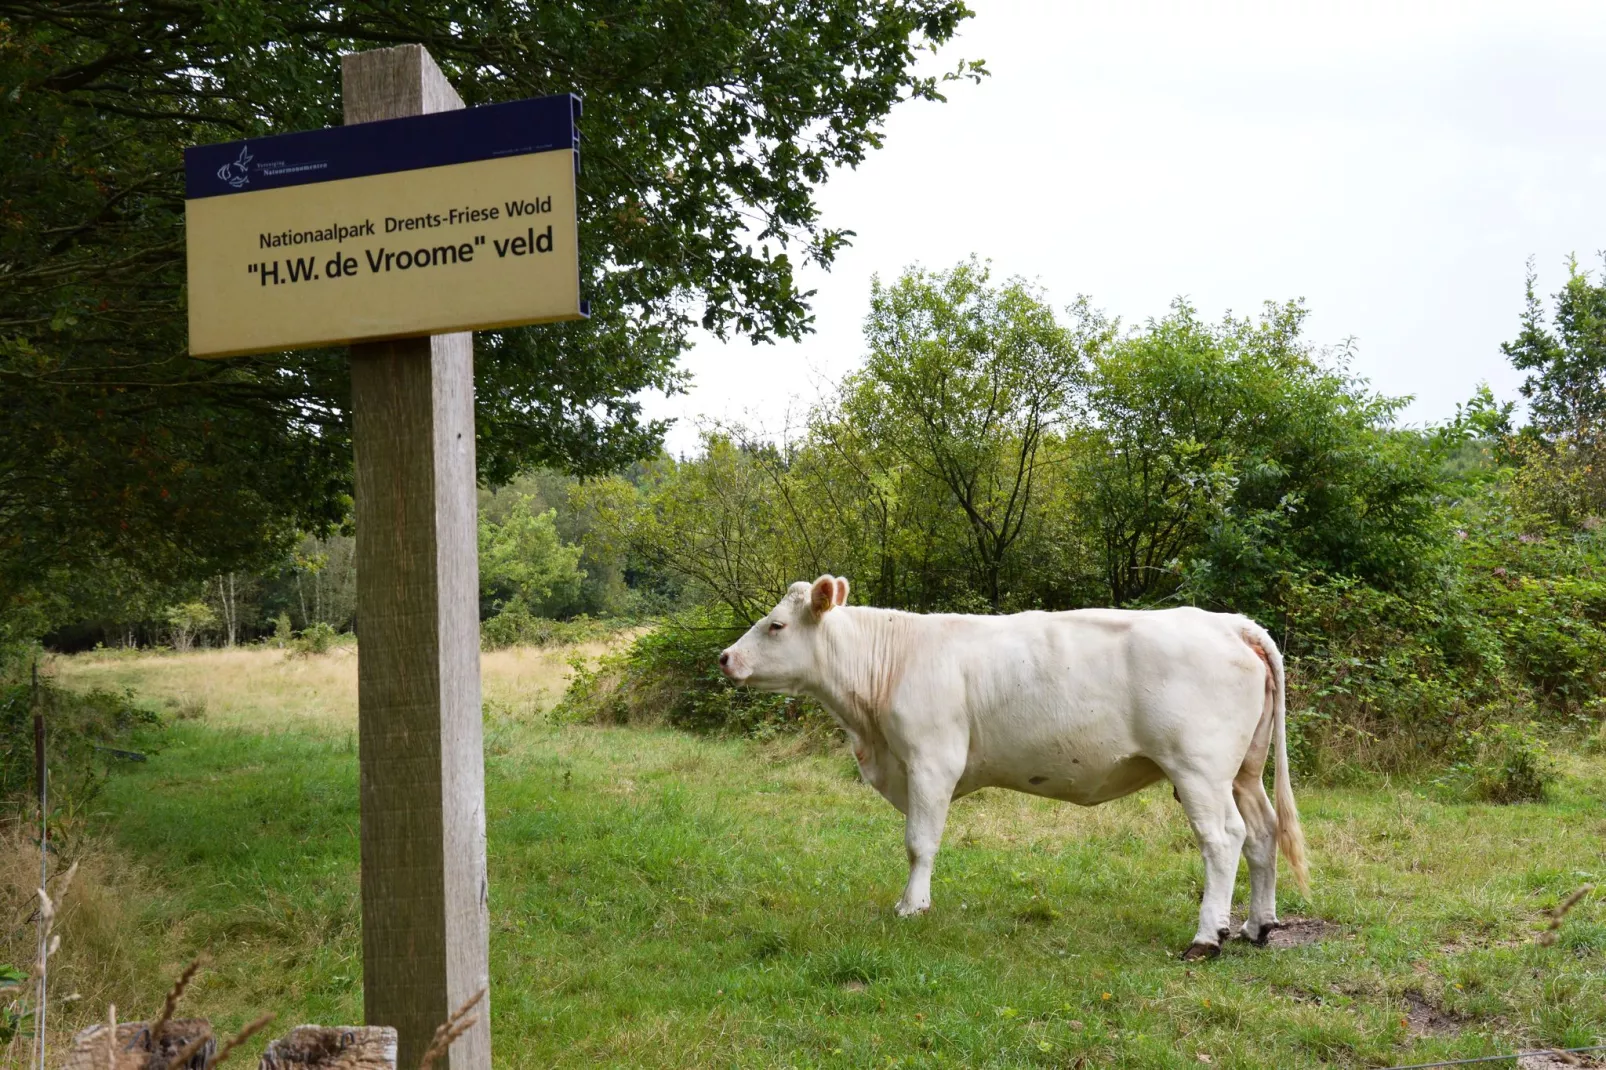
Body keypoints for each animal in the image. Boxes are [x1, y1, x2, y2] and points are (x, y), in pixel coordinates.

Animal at [722, 575, 1310, 957]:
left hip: (1199, 769)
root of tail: (1231, 623)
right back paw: (1258, 925)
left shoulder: (932, 759)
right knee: (1263, 832)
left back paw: (1208, 937)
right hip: (1244, 771)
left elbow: (919, 842)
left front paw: (912, 907)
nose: (726, 657)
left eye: (775, 626)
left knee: (1223, 839)